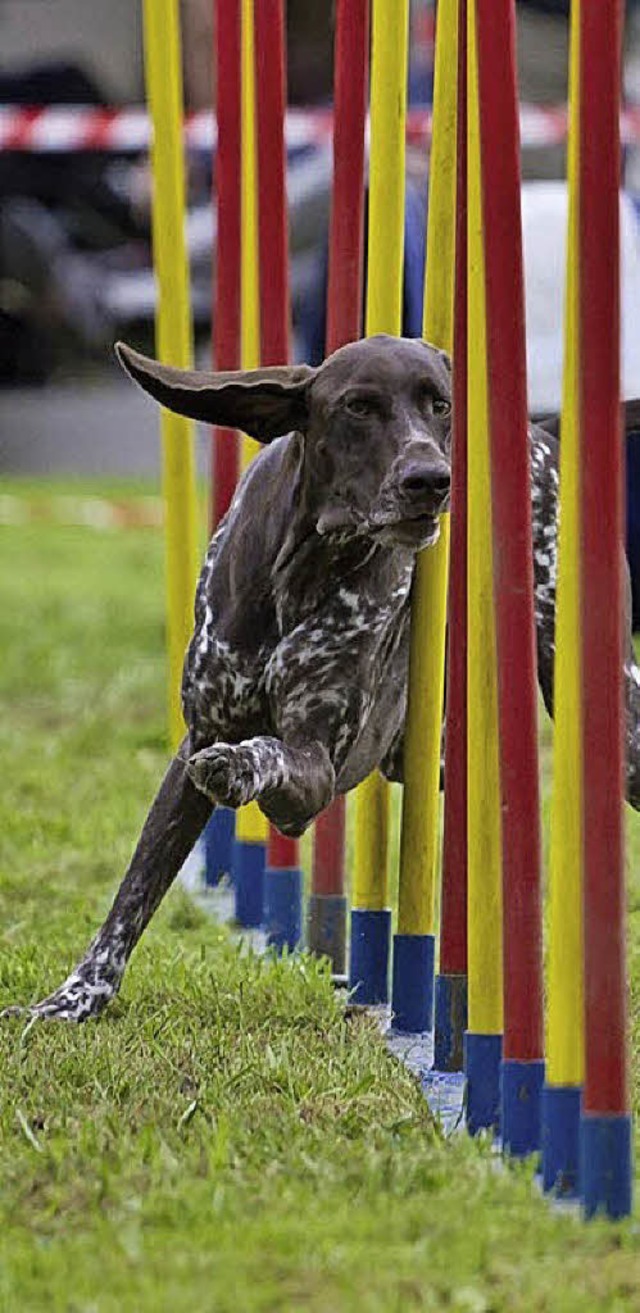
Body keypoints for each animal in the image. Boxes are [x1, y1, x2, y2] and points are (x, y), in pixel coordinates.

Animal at [5, 336, 640, 1013]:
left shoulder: (313, 773)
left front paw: (241, 765)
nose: (430, 479)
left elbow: (270, 753)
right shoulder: (195, 744)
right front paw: (74, 999)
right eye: (358, 406)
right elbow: (137, 887)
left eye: (440, 404)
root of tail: (541, 433)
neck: (305, 565)